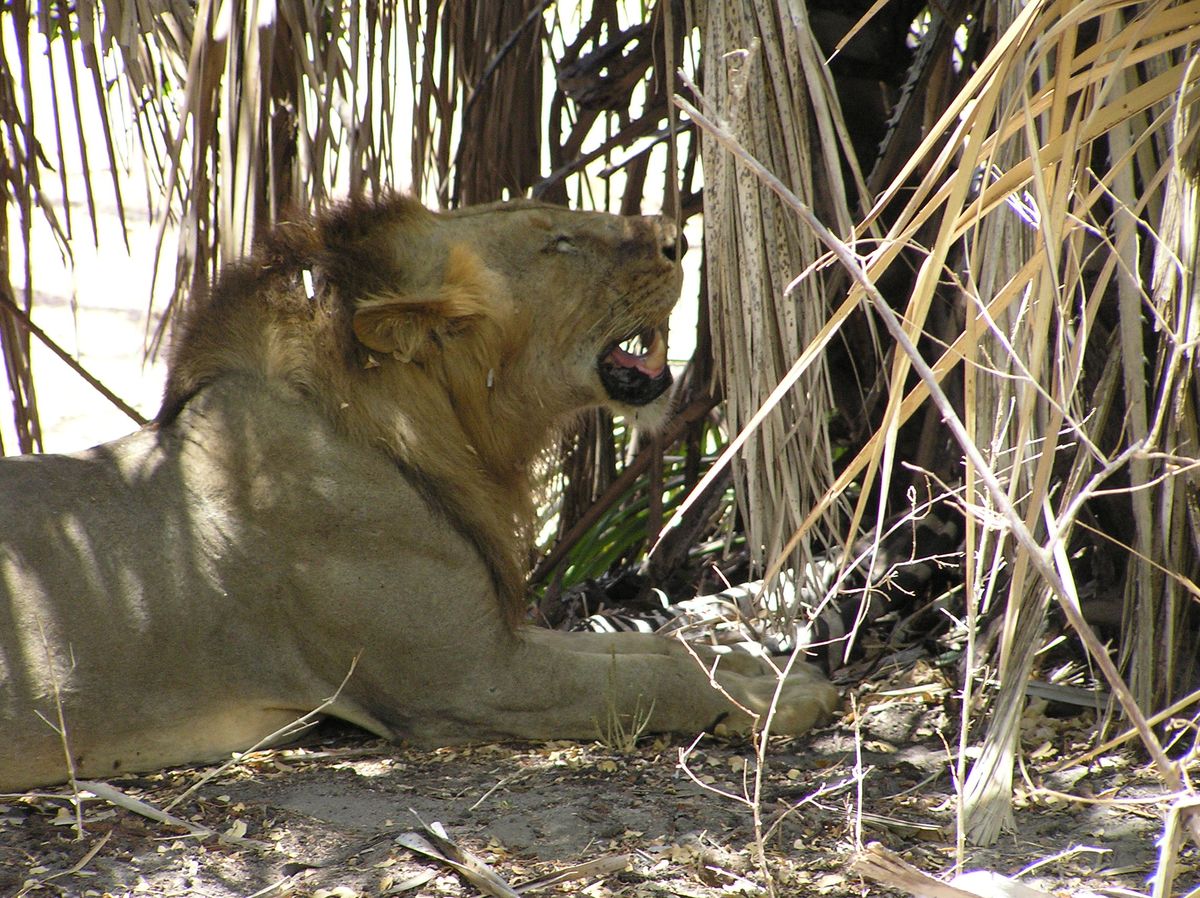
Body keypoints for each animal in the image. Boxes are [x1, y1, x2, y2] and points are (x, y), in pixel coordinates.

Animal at [0, 196, 838, 791]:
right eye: (556, 243)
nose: (676, 237)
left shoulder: (491, 636)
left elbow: (658, 645)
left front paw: (767, 667)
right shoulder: (472, 682)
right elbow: (648, 680)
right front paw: (783, 701)